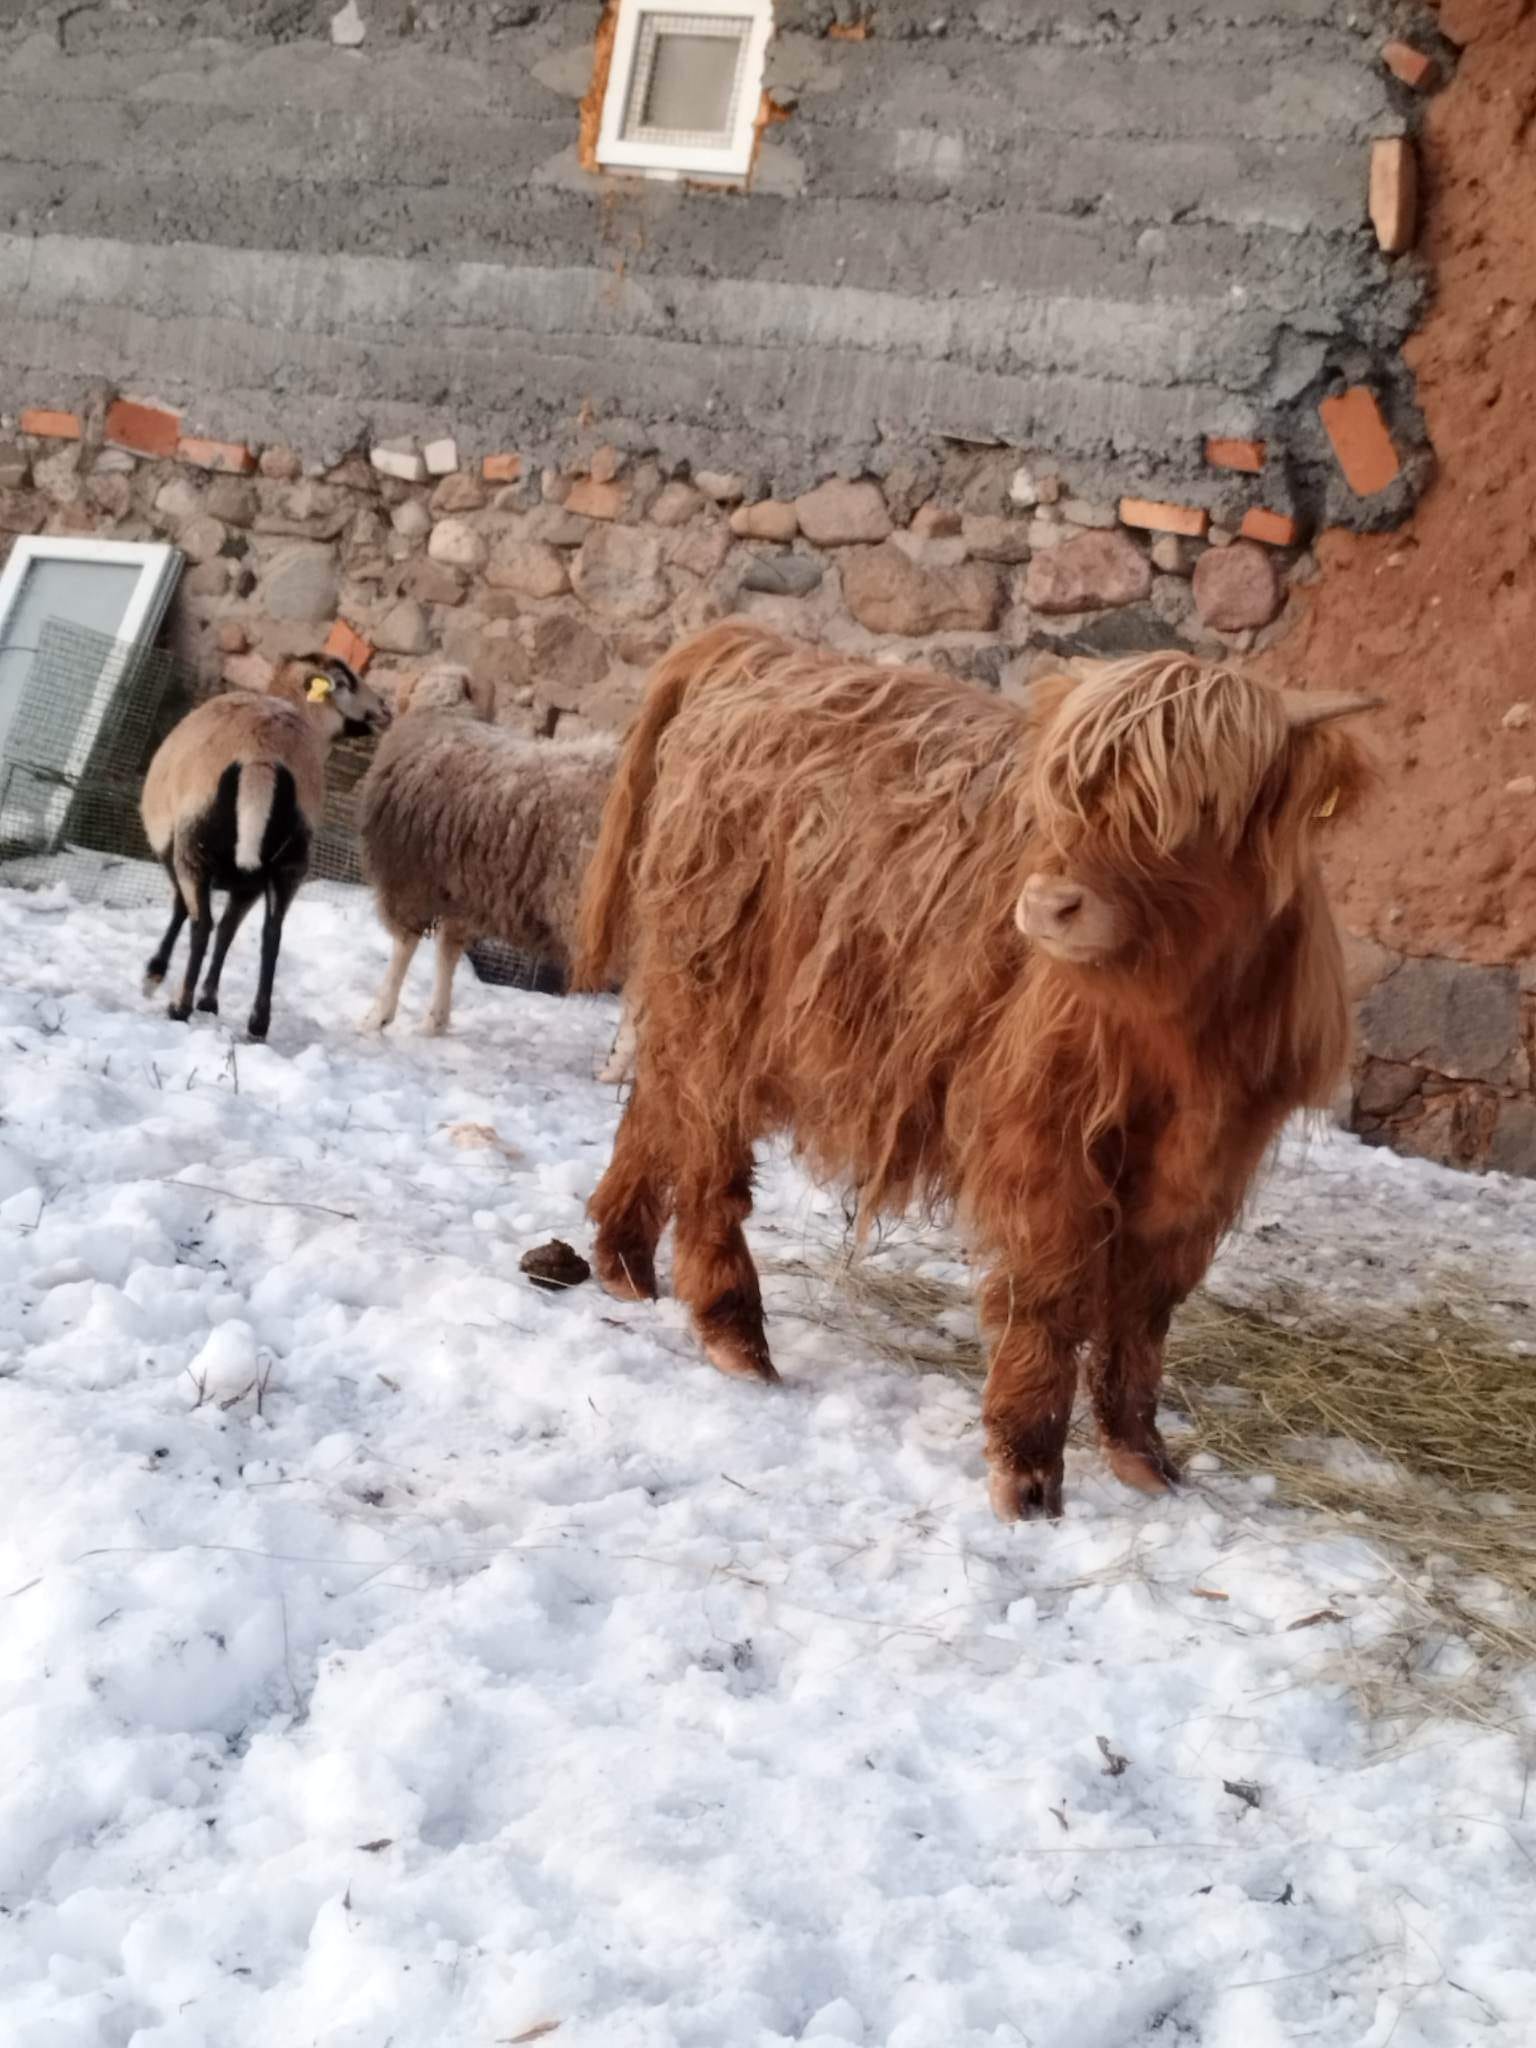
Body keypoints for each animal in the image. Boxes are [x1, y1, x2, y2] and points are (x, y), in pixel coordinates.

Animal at [577, 622, 1384, 1523]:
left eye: (1194, 808)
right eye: (1067, 793)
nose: (1049, 904)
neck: (1180, 1033)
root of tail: (760, 649)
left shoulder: (1207, 1159)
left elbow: (1146, 1305)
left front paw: (1142, 1456)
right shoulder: (1041, 1125)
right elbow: (1049, 1288)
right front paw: (1028, 1473)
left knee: (658, 1106)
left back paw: (622, 1261)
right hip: (720, 994)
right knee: (708, 1148)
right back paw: (732, 1330)